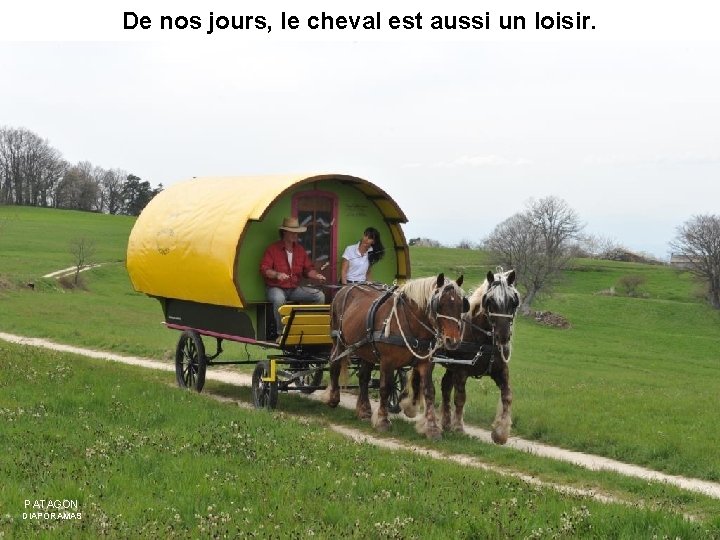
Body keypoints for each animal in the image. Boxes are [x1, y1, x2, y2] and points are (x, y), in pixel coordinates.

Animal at [323, 273, 468, 440]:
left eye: (461, 305)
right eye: (439, 304)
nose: (453, 341)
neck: (412, 323)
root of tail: (344, 288)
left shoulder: (426, 362)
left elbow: (429, 391)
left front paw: (432, 428)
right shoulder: (387, 361)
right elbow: (385, 388)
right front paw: (382, 421)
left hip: (366, 349)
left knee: (364, 377)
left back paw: (364, 410)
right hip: (339, 342)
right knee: (335, 364)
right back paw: (333, 398)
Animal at [402, 269, 520, 444]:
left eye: (513, 301)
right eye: (490, 301)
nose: (503, 337)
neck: (483, 339)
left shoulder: (500, 370)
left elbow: (507, 395)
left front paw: (501, 432)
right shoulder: (462, 371)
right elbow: (460, 398)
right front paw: (458, 428)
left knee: (445, 386)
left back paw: (445, 421)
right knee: (420, 377)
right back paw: (411, 407)